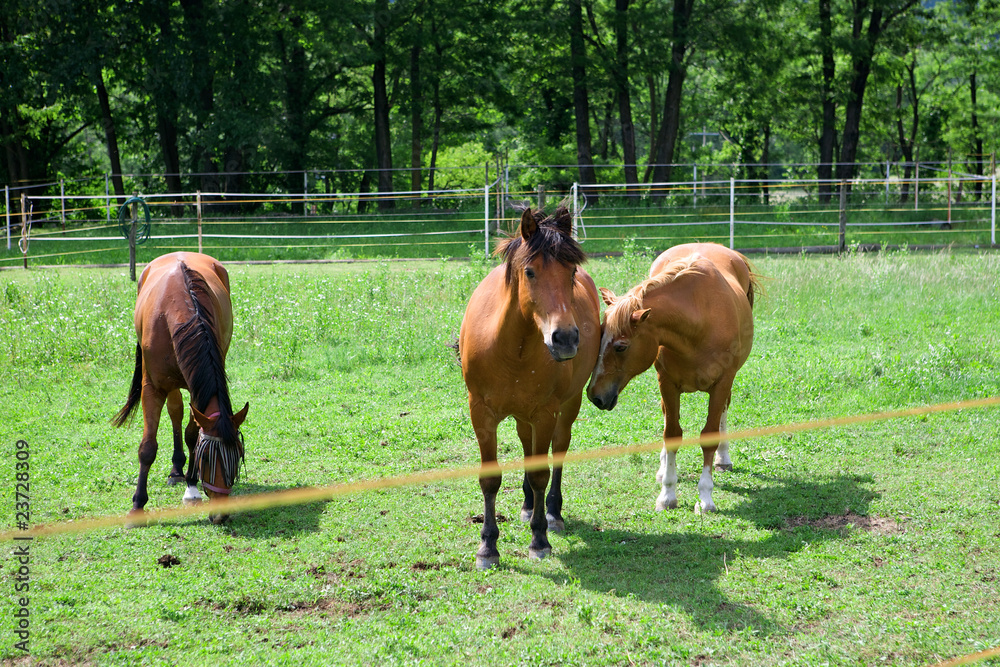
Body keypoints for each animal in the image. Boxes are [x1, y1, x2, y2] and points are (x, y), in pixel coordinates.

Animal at [112, 252, 249, 525]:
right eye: (206, 458)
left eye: (238, 455)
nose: (220, 515)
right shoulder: (152, 387)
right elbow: (148, 447)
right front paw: (137, 506)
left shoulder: (199, 390)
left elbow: (192, 434)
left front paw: (191, 487)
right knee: (174, 410)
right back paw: (176, 470)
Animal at [459, 206, 600, 570]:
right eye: (530, 272)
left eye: (571, 272)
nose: (565, 339)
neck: (511, 348)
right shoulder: (481, 412)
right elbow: (490, 478)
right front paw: (487, 547)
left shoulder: (545, 412)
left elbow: (540, 474)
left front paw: (539, 540)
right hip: (523, 416)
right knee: (527, 447)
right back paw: (526, 506)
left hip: (565, 408)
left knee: (558, 450)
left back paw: (552, 513)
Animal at [586, 242, 759, 513]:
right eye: (600, 335)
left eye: (621, 347)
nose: (594, 395)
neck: (698, 325)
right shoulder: (667, 383)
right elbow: (672, 434)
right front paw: (667, 494)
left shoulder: (721, 384)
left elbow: (709, 435)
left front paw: (706, 497)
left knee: (723, 413)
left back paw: (723, 458)